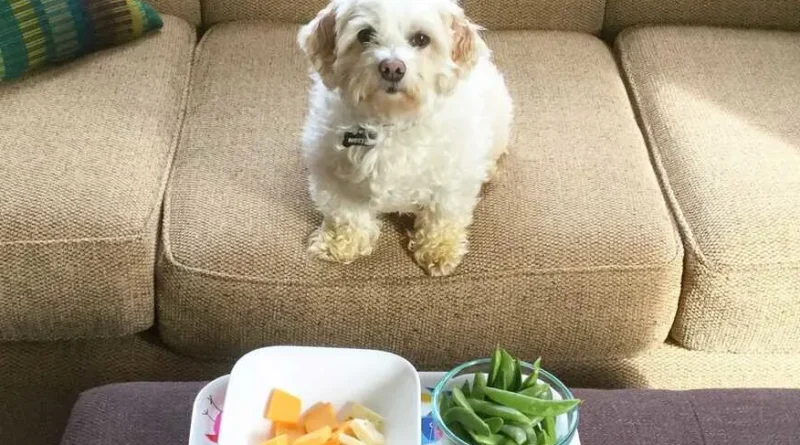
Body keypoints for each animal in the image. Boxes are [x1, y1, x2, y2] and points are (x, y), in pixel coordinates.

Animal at [298, 0, 512, 276]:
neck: (391, 121)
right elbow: (345, 214)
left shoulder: (453, 179)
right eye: (364, 35)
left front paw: (439, 249)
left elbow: (443, 215)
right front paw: (340, 243)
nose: (392, 67)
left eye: (421, 38)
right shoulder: (333, 176)